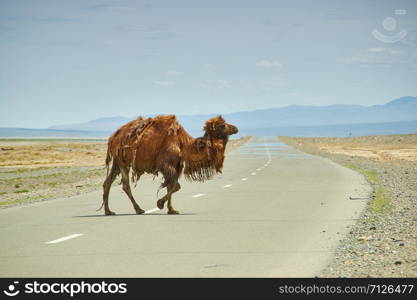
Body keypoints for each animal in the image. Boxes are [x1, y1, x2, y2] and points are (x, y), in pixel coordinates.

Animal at [97, 115, 237, 216]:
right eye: (223, 125)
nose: (236, 128)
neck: (183, 144)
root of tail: (112, 138)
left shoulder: (176, 165)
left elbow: (171, 186)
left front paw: (172, 210)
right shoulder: (165, 164)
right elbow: (175, 186)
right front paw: (160, 204)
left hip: (118, 161)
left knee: (108, 182)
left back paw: (109, 211)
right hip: (123, 161)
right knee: (125, 185)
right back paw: (138, 209)